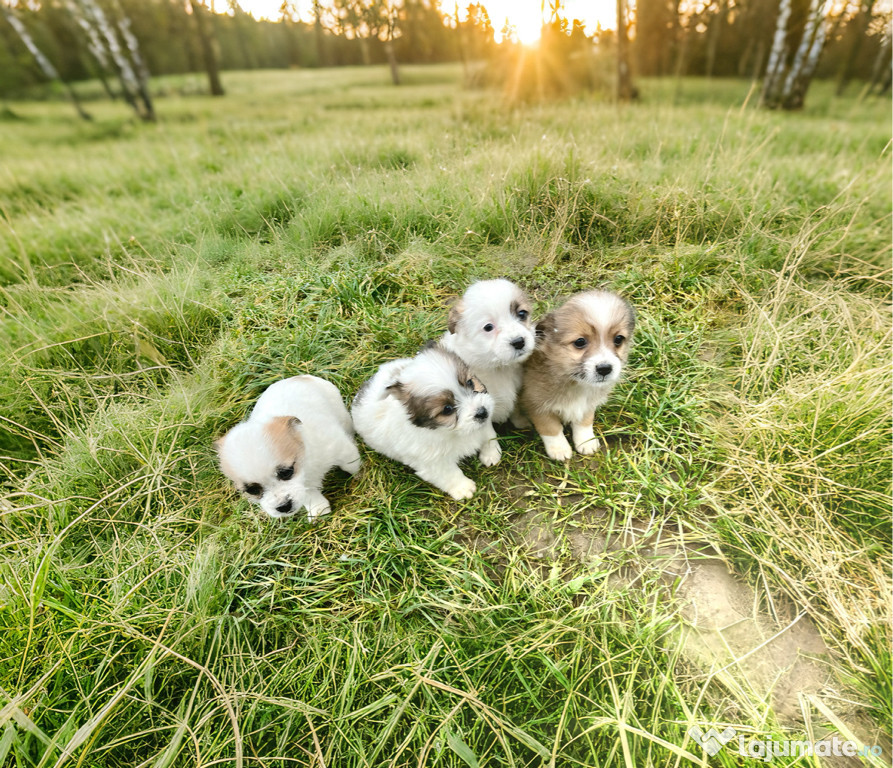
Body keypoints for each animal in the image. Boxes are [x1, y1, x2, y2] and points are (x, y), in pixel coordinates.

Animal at [214, 376, 360, 520]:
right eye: (252, 490)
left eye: (286, 472)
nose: (283, 506)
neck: (306, 459)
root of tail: (299, 377)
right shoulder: (303, 486)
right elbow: (309, 494)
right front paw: (318, 509)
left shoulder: (340, 447)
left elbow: (351, 465)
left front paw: (358, 478)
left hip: (342, 414)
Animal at [350, 344, 502, 500]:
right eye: (447, 409)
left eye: (470, 382)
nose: (482, 412)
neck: (451, 432)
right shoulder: (431, 462)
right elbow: (448, 474)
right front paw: (463, 487)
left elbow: (488, 434)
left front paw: (491, 453)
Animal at [438, 280, 532, 432]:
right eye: (488, 327)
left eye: (522, 313)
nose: (519, 342)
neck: (498, 368)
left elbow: (516, 410)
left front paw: (522, 422)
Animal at [516, 292, 636, 462]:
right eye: (580, 342)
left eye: (618, 339)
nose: (605, 368)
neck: (575, 382)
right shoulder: (536, 405)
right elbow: (551, 428)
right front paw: (559, 449)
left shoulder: (588, 404)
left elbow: (584, 422)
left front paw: (586, 441)